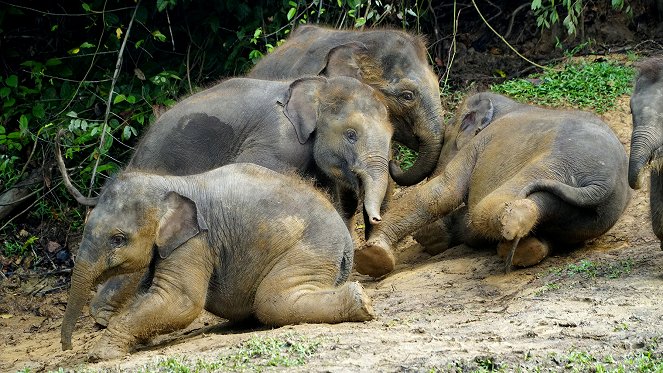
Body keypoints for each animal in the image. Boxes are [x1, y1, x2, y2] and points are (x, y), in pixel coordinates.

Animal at [59, 163, 376, 360]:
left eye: (117, 239)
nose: (67, 347)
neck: (169, 183)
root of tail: (347, 242)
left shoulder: (196, 242)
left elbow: (180, 301)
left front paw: (101, 354)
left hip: (312, 250)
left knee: (271, 300)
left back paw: (361, 301)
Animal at [356, 91, 632, 276]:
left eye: (447, 138)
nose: (392, 160)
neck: (507, 106)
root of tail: (602, 183)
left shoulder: (481, 143)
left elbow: (445, 190)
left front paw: (373, 253)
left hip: (556, 162)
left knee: (486, 208)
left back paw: (512, 226)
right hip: (591, 216)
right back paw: (521, 249)